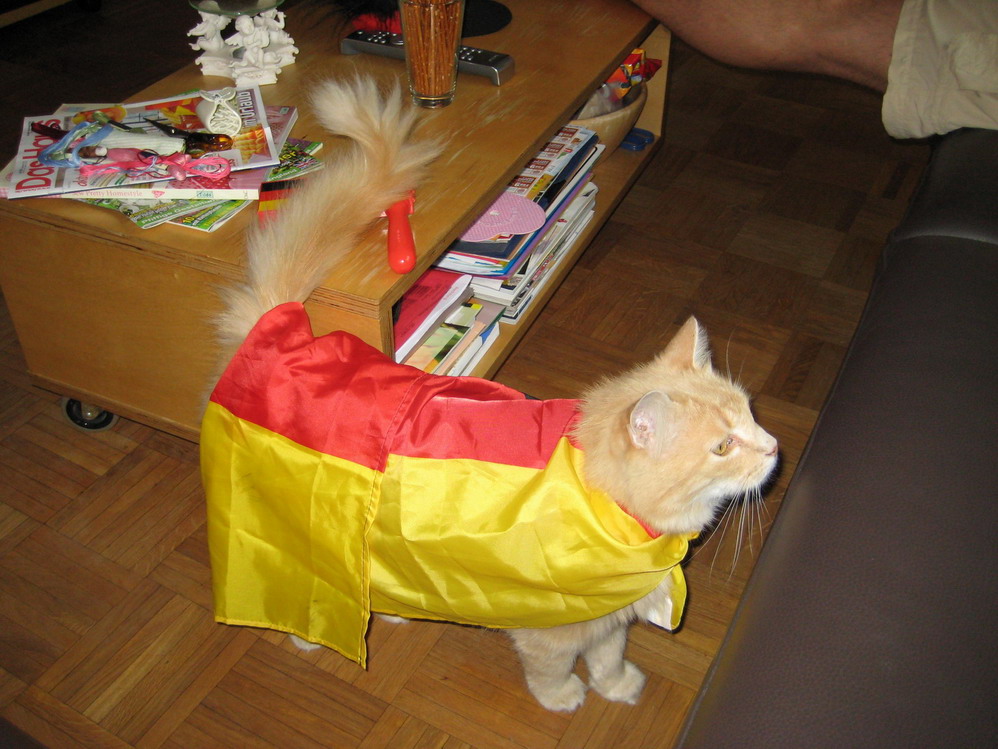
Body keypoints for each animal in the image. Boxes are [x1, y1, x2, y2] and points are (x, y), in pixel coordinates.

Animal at [203, 75, 779, 713]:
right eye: (723, 447)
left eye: (750, 415)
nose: (775, 448)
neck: (604, 501)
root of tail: (283, 329)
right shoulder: (550, 627)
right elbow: (552, 669)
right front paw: (565, 699)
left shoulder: (611, 619)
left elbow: (609, 656)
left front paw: (617, 687)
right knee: (315, 592)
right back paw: (316, 635)